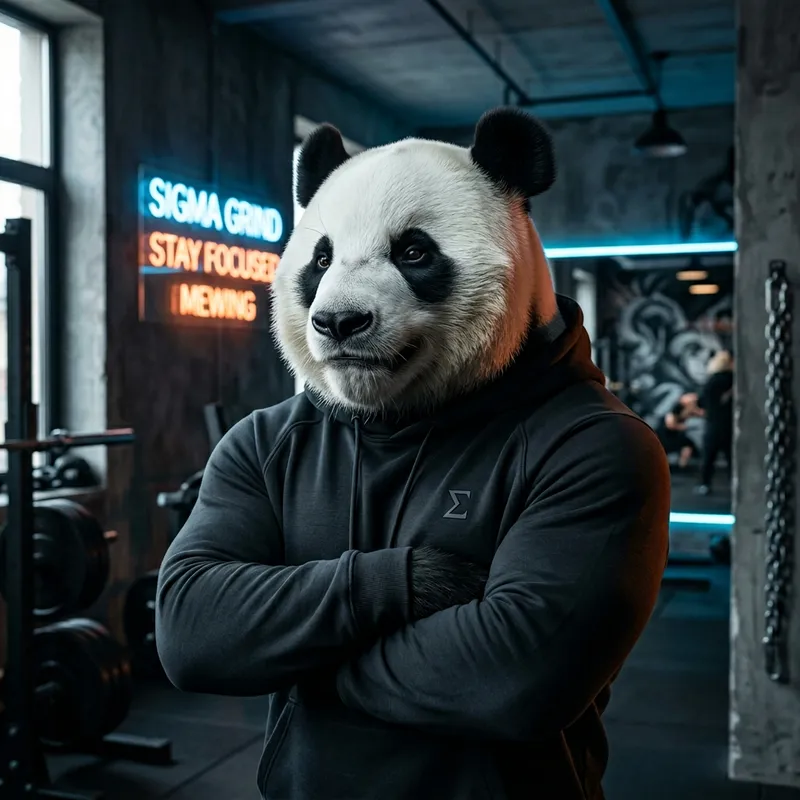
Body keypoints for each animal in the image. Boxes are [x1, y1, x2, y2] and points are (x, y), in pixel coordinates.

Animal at [156, 107, 671, 800]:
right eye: (321, 258)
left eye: (414, 251)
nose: (339, 323)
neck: (398, 416)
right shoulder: (240, 449)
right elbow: (198, 587)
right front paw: (431, 579)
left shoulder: (610, 459)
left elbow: (517, 643)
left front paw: (439, 582)